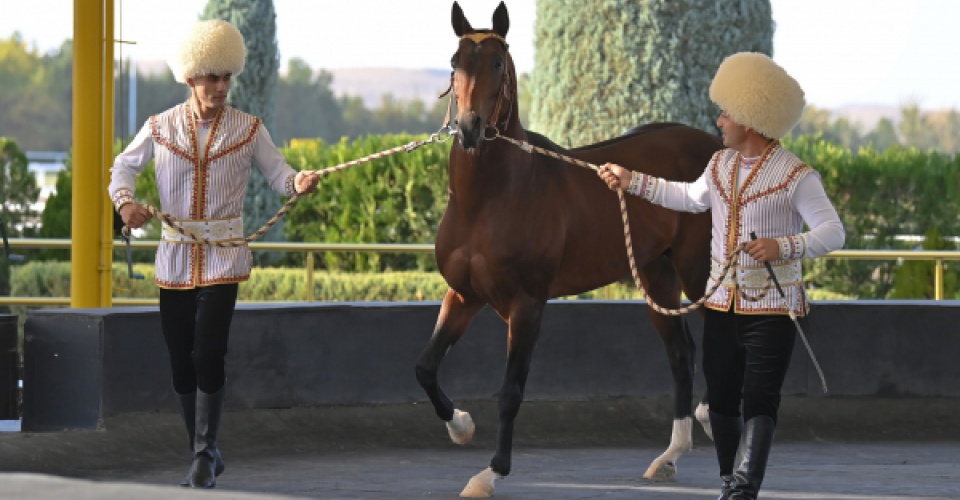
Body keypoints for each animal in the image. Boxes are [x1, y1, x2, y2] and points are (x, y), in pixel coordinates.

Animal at [414, 2, 724, 496]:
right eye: (454, 61)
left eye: (497, 62)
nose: (468, 129)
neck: (492, 197)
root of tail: (720, 148)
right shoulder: (464, 295)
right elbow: (426, 366)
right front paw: (460, 426)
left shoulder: (527, 305)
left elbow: (511, 392)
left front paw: (490, 472)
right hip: (657, 275)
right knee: (681, 352)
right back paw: (669, 456)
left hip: (697, 270)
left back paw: (707, 417)